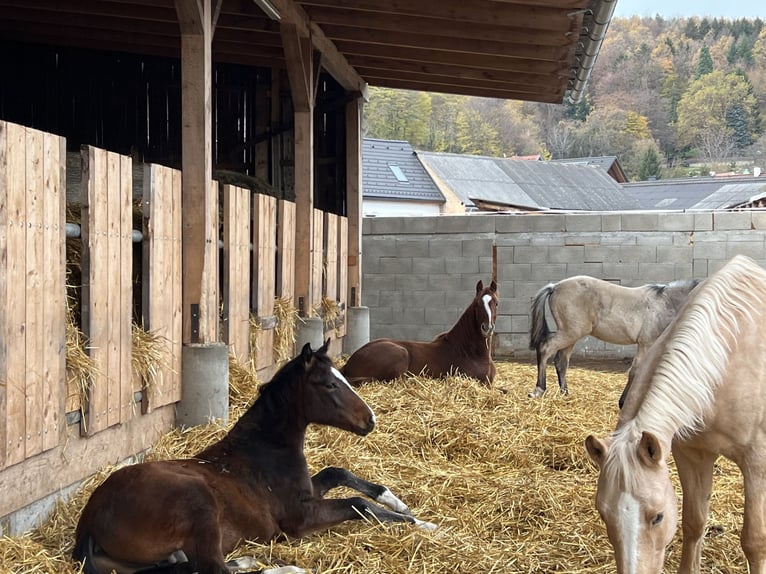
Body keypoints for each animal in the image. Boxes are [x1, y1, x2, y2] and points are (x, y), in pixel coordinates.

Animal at [73, 342, 438, 574]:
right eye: (329, 385)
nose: (370, 420)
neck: (265, 448)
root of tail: (91, 516)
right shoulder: (299, 517)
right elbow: (357, 505)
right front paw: (423, 524)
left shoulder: (308, 494)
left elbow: (338, 472)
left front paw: (398, 503)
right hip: (199, 504)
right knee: (213, 569)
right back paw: (287, 568)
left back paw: (253, 561)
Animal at [340, 280, 498, 388]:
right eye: (477, 304)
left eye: (496, 303)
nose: (487, 328)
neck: (467, 352)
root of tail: (349, 363)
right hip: (401, 353)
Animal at [532, 276, 700, 402]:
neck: (666, 303)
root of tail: (555, 287)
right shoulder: (646, 344)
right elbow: (636, 371)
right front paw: (623, 402)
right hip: (570, 333)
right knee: (545, 349)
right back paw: (539, 390)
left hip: (571, 336)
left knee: (561, 361)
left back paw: (565, 394)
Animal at [592, 256, 766, 574]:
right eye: (603, 514)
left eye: (657, 516)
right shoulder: (692, 455)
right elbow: (693, 523)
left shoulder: (756, 463)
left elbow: (755, 540)